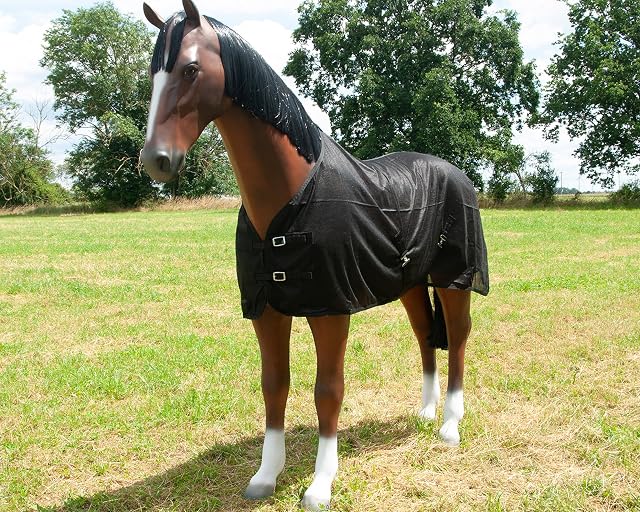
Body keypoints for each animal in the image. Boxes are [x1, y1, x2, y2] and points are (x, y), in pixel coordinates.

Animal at [140, 1, 489, 509]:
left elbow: (328, 391)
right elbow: (274, 386)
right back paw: (425, 413)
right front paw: (266, 475)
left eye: (189, 68)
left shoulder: (331, 310)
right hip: (409, 285)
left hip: (454, 280)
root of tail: (454, 172)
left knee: (458, 339)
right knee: (426, 337)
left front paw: (321, 484)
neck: (288, 199)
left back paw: (449, 426)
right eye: (153, 73)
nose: (156, 160)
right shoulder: (266, 310)